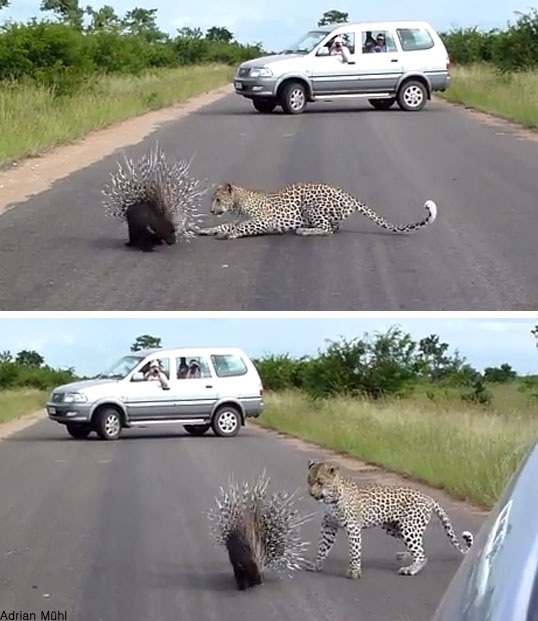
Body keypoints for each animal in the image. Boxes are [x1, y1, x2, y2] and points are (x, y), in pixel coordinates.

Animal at [304, 458, 472, 580]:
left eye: (320, 481)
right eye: (309, 480)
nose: (311, 494)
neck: (331, 498)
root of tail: (428, 497)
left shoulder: (352, 527)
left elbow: (354, 550)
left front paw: (355, 572)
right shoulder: (328, 526)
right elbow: (323, 547)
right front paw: (316, 565)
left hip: (409, 528)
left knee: (421, 554)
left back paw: (410, 570)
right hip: (395, 528)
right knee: (420, 547)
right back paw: (405, 556)